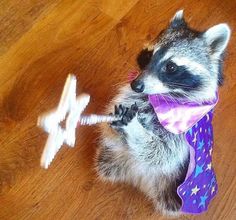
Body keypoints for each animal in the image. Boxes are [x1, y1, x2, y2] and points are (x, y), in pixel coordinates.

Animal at [95, 10, 230, 217]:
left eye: (171, 66)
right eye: (148, 55)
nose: (136, 84)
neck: (160, 99)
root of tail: (139, 179)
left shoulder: (183, 133)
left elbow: (163, 153)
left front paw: (135, 129)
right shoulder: (130, 95)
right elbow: (107, 127)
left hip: (174, 184)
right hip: (112, 156)